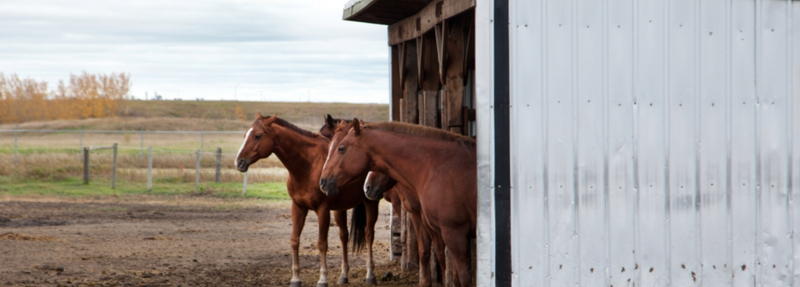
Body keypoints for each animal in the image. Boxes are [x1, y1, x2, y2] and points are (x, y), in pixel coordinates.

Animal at [236, 113, 380, 286]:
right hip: (340, 209)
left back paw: (370, 275)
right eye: (245, 135)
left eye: (257, 136)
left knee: (369, 234)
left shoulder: (322, 210)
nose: (239, 162)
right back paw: (343, 275)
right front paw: (295, 278)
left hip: (371, 202)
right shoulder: (298, 207)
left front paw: (322, 279)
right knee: (344, 236)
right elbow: (294, 240)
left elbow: (322, 244)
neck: (308, 166)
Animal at [318, 120, 478, 286]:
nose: (322, 181)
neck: (435, 166)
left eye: (341, 148)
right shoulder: (424, 220)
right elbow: (426, 251)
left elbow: (457, 271)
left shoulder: (454, 232)